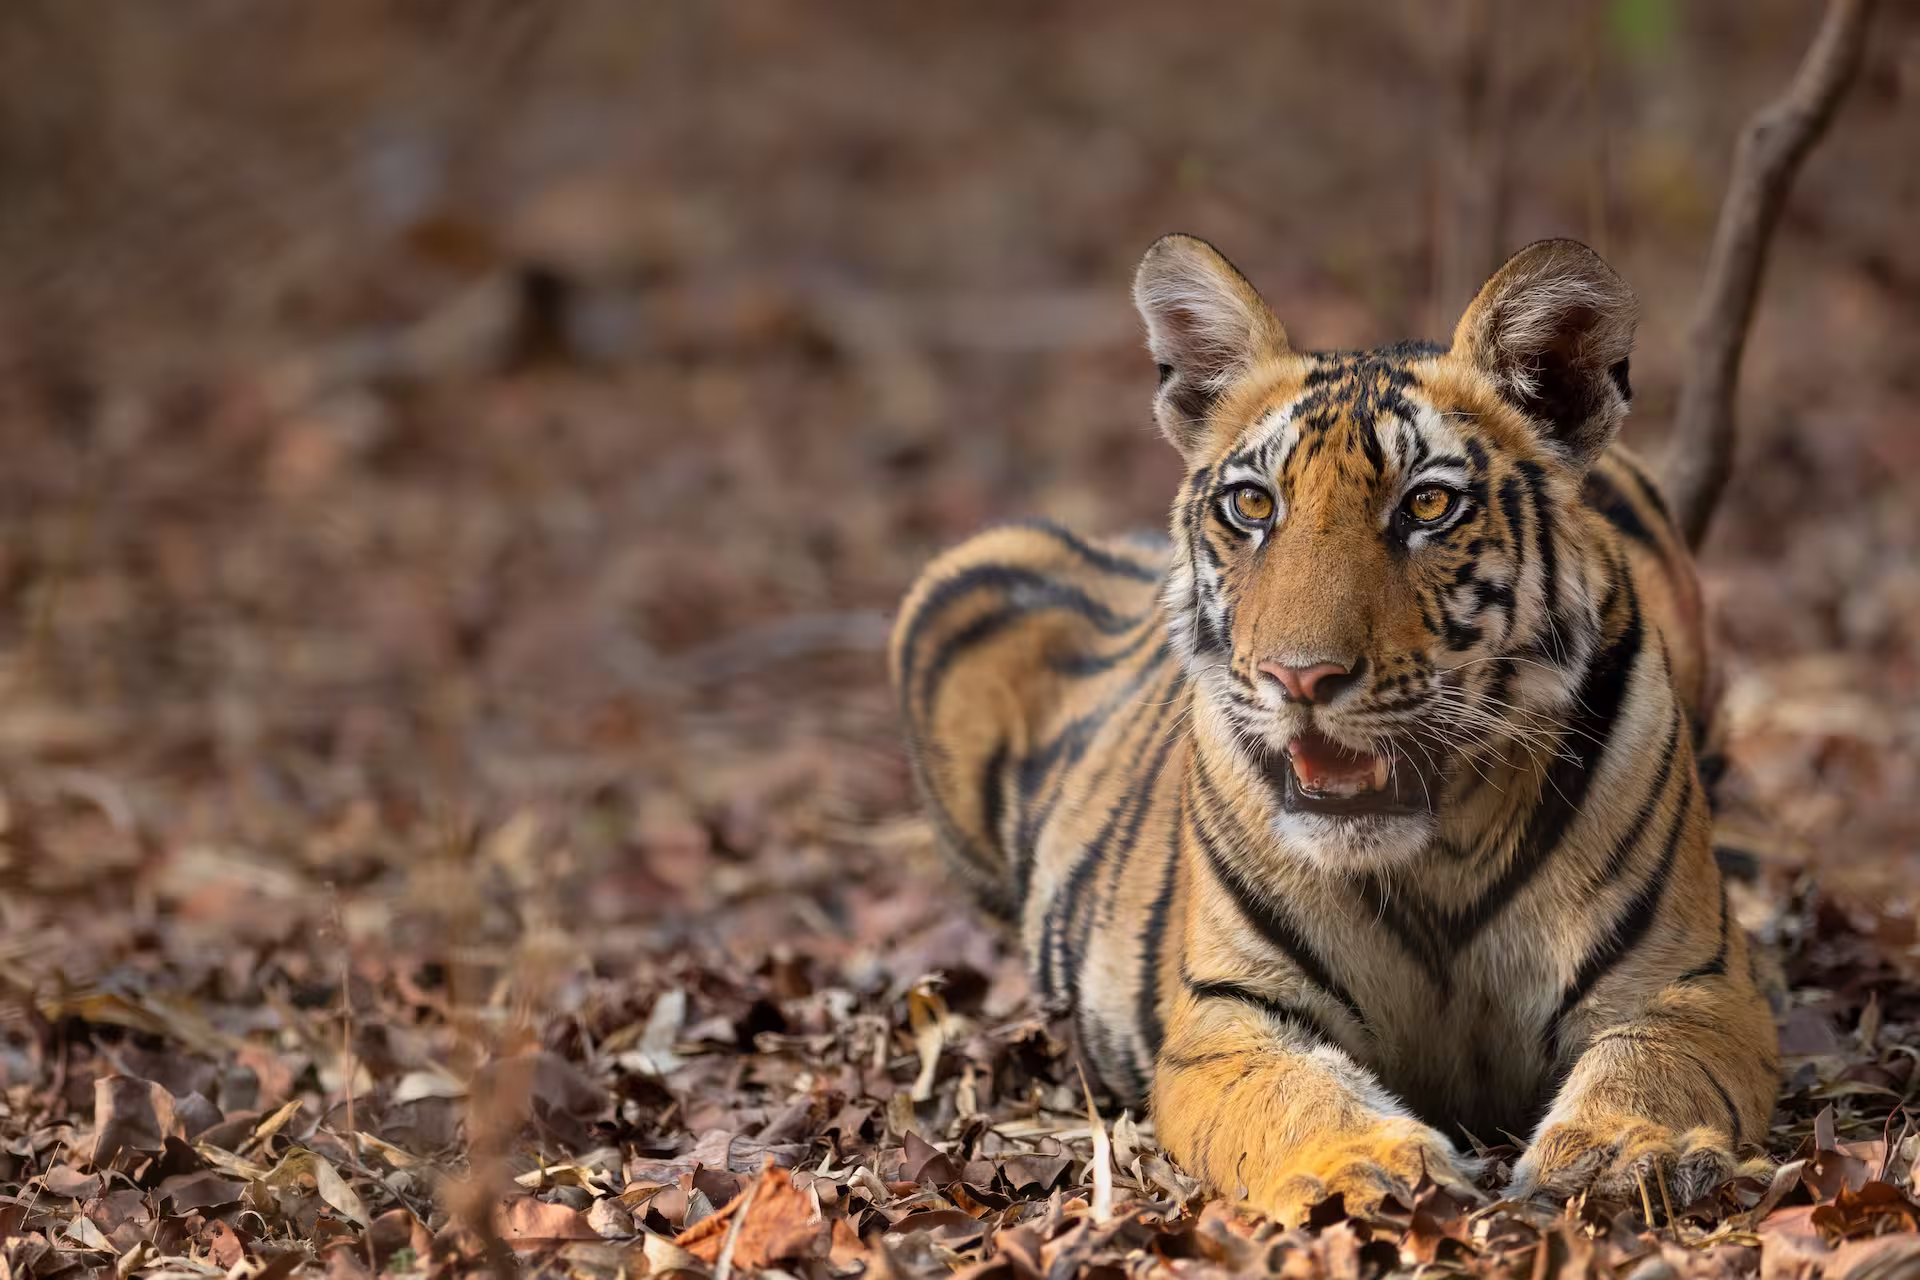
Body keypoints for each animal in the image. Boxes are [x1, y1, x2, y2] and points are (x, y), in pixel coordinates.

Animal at [889, 235, 1778, 1224]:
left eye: (1427, 507)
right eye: (1253, 506)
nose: (1299, 677)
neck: (1439, 856)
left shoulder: (1687, 986)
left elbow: (1647, 1071)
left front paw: (1624, 1155)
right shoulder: (1231, 1016)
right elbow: (1296, 1094)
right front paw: (1368, 1164)